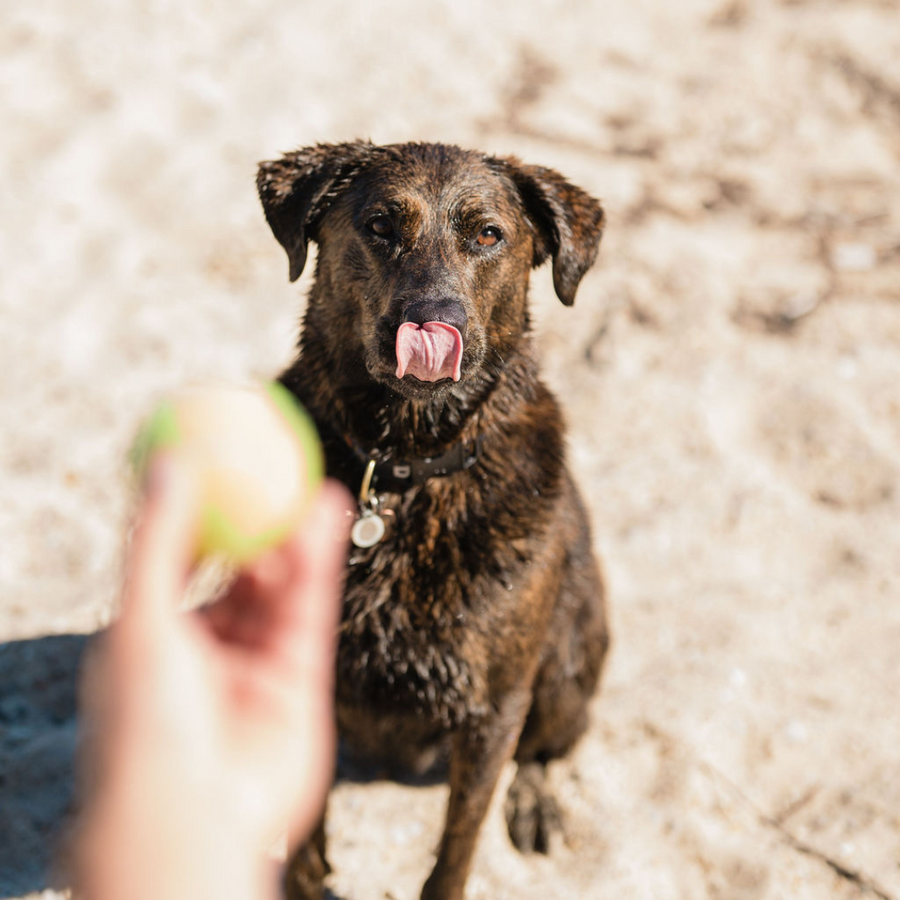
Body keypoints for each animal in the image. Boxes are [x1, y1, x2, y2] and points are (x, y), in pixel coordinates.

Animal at [260, 141, 612, 900]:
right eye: (380, 226)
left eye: (488, 236)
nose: (431, 319)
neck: (402, 468)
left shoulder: (492, 709)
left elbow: (457, 846)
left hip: (570, 659)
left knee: (546, 747)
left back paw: (536, 801)